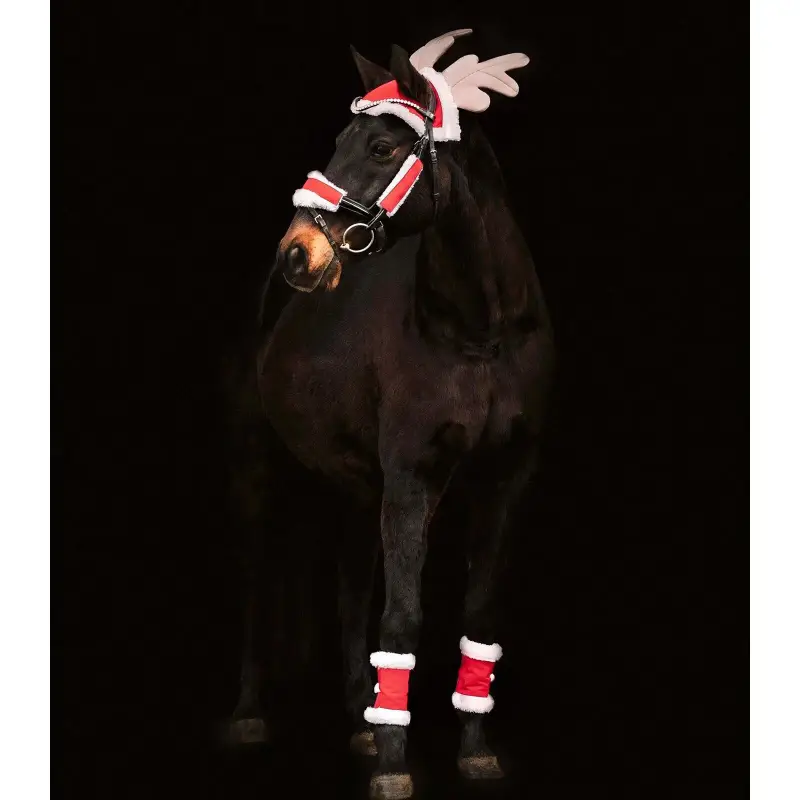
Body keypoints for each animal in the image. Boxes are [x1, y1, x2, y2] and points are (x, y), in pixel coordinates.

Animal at [226, 30, 556, 800]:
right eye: (339, 139)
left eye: (381, 147)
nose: (297, 253)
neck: (479, 332)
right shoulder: (411, 481)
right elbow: (402, 618)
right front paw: (393, 767)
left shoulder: (507, 479)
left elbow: (477, 612)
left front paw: (473, 751)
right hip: (260, 466)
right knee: (257, 579)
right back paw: (253, 713)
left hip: (356, 485)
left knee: (350, 582)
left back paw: (357, 716)